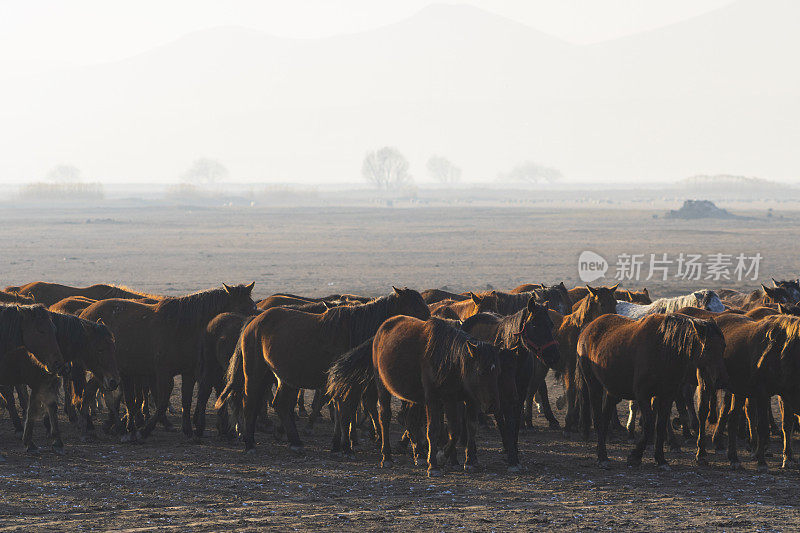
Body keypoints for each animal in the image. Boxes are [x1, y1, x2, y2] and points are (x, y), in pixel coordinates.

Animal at [79, 282, 255, 440]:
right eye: (242, 308)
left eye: (253, 308)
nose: (246, 335)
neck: (181, 328)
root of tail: (85, 313)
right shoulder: (164, 373)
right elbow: (162, 403)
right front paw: (144, 430)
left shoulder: (188, 373)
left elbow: (186, 400)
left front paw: (188, 430)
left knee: (91, 391)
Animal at [214, 286, 432, 454]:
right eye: (413, 306)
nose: (429, 324)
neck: (353, 329)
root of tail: (253, 321)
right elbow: (344, 409)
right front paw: (344, 446)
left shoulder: (349, 382)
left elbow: (346, 409)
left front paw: (344, 444)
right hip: (255, 373)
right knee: (250, 402)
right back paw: (250, 443)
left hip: (284, 377)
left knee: (281, 404)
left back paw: (295, 442)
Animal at [580, 314, 728, 468]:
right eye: (708, 348)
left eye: (723, 346)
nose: (722, 380)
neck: (664, 349)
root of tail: (588, 328)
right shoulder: (642, 395)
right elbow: (649, 425)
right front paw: (635, 456)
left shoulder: (666, 396)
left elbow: (660, 425)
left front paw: (660, 459)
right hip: (593, 385)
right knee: (598, 419)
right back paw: (602, 456)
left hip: (612, 391)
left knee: (605, 418)